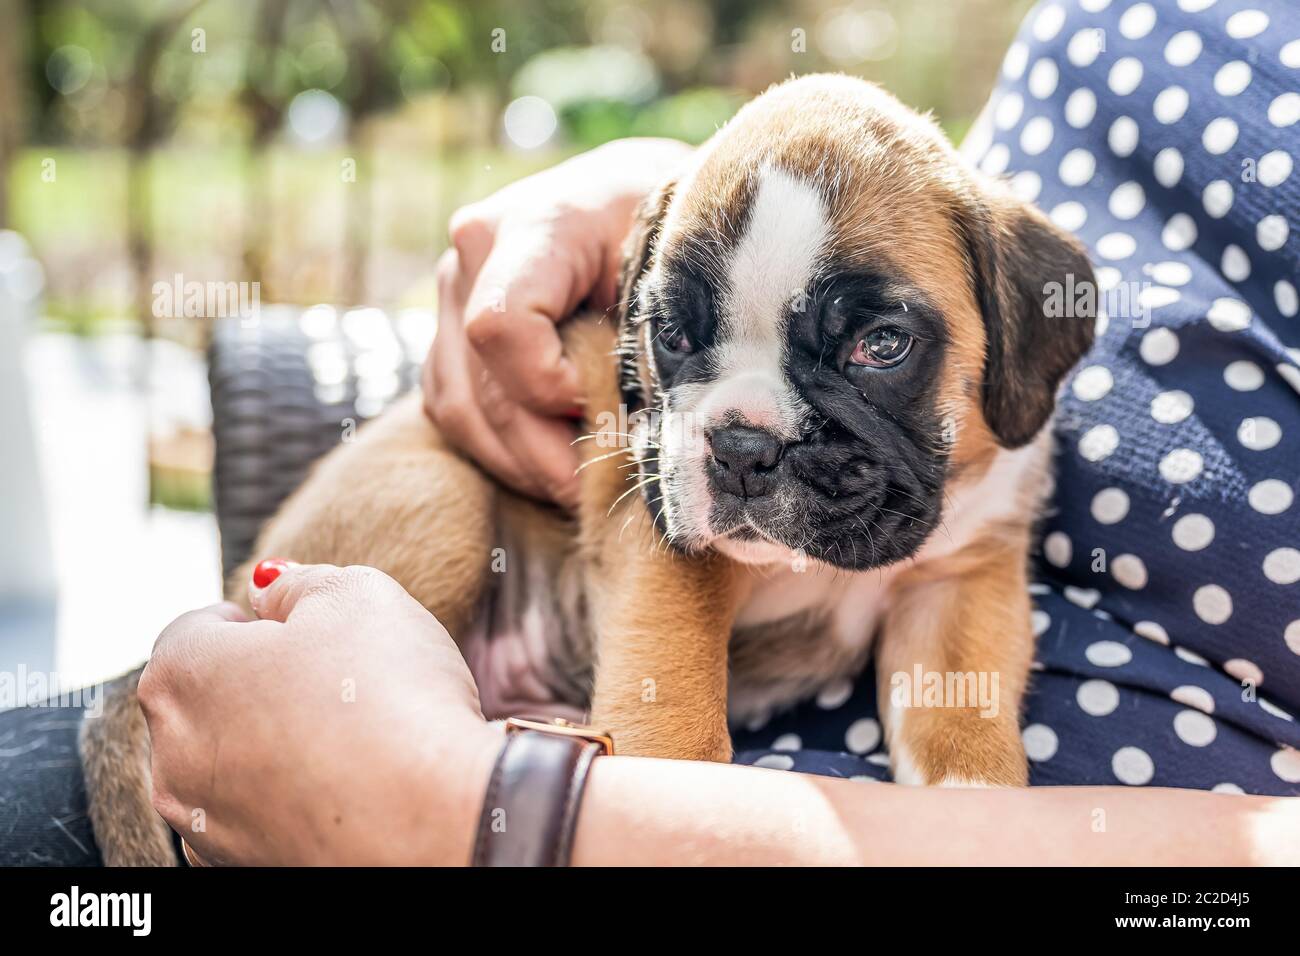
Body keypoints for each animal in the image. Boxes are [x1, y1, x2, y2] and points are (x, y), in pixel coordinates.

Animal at [81, 76, 1097, 868]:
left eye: (881, 346)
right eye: (670, 333)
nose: (742, 446)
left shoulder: (963, 583)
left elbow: (965, 732)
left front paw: (976, 805)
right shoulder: (659, 540)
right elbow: (677, 711)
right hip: (444, 500)